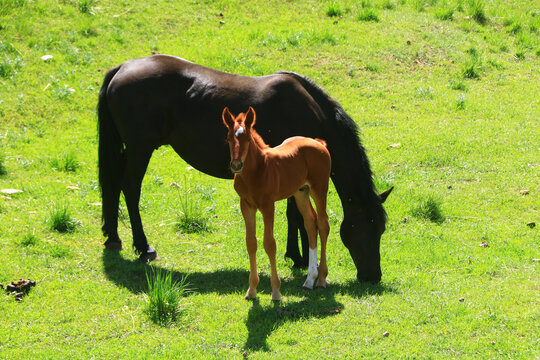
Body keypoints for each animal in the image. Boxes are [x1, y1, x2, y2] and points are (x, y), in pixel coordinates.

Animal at [221, 107, 332, 300]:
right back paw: (309, 280)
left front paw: (276, 291)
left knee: (323, 224)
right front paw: (251, 290)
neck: (257, 170)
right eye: (228, 139)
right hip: (301, 192)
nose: (236, 165)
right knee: (311, 223)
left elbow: (269, 244)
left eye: (248, 139)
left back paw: (321, 280)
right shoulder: (246, 205)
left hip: (319, 188)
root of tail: (319, 143)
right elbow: (251, 243)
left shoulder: (267, 205)